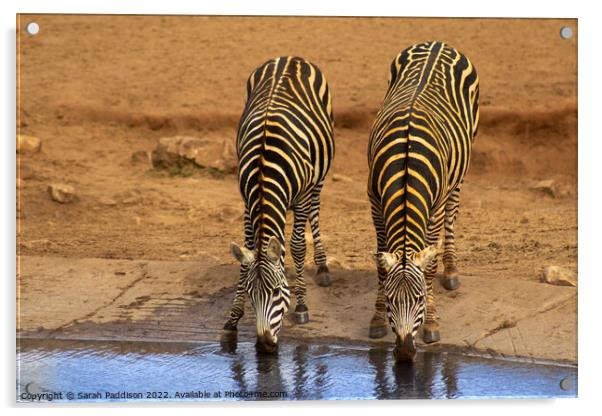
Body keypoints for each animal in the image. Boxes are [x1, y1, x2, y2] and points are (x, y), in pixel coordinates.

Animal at [221, 55, 332, 352]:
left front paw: (302, 305)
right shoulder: (247, 203)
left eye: (276, 291)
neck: (264, 168)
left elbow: (297, 246)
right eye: (251, 293)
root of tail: (290, 57)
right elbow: (248, 253)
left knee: (315, 213)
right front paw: (233, 318)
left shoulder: (302, 196)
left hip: (318, 179)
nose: (264, 346)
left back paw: (323, 267)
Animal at [366, 40, 478, 362]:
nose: (404, 354)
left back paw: (451, 271)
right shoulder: (374, 201)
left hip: (459, 174)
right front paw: (377, 319)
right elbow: (381, 265)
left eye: (418, 299)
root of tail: (437, 43)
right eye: (391, 300)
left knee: (452, 215)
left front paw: (432, 324)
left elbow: (428, 266)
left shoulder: (434, 209)